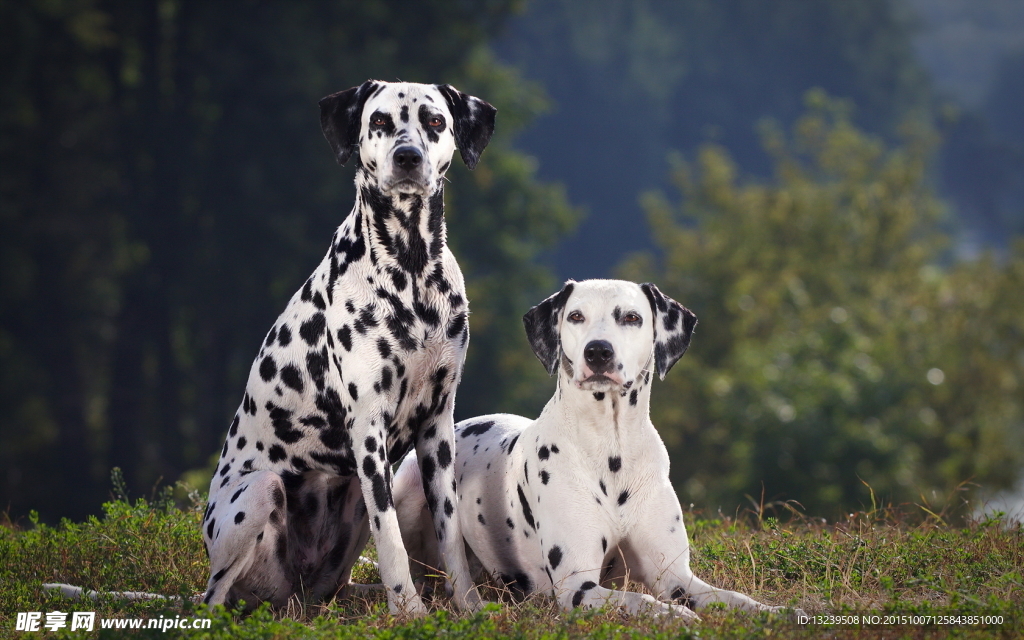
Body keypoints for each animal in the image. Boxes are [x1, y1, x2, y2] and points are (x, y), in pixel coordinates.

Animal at [200, 79, 495, 614]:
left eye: (435, 121)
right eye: (379, 121)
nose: (407, 156)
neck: (411, 269)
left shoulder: (438, 426)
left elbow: (450, 533)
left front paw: (468, 606)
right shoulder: (368, 431)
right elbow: (391, 539)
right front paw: (409, 611)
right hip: (260, 492)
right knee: (213, 597)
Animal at [391, 278, 790, 618]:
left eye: (631, 317)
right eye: (575, 316)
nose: (598, 351)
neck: (611, 450)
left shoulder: (677, 576)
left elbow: (733, 598)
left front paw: (776, 612)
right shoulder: (577, 587)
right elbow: (641, 599)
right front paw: (676, 615)